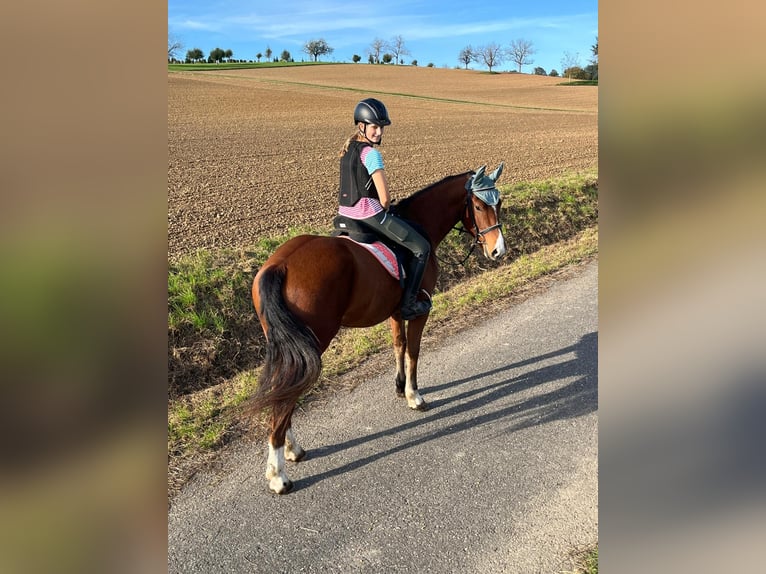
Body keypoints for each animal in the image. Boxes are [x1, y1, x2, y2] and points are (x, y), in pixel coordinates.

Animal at [249, 163, 508, 496]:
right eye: (477, 206)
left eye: (498, 203)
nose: (498, 251)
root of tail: (278, 265)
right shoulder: (419, 310)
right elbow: (413, 351)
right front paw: (414, 395)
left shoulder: (396, 312)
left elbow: (398, 345)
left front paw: (399, 386)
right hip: (311, 342)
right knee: (287, 395)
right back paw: (278, 474)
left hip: (287, 345)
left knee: (283, 390)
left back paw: (290, 450)